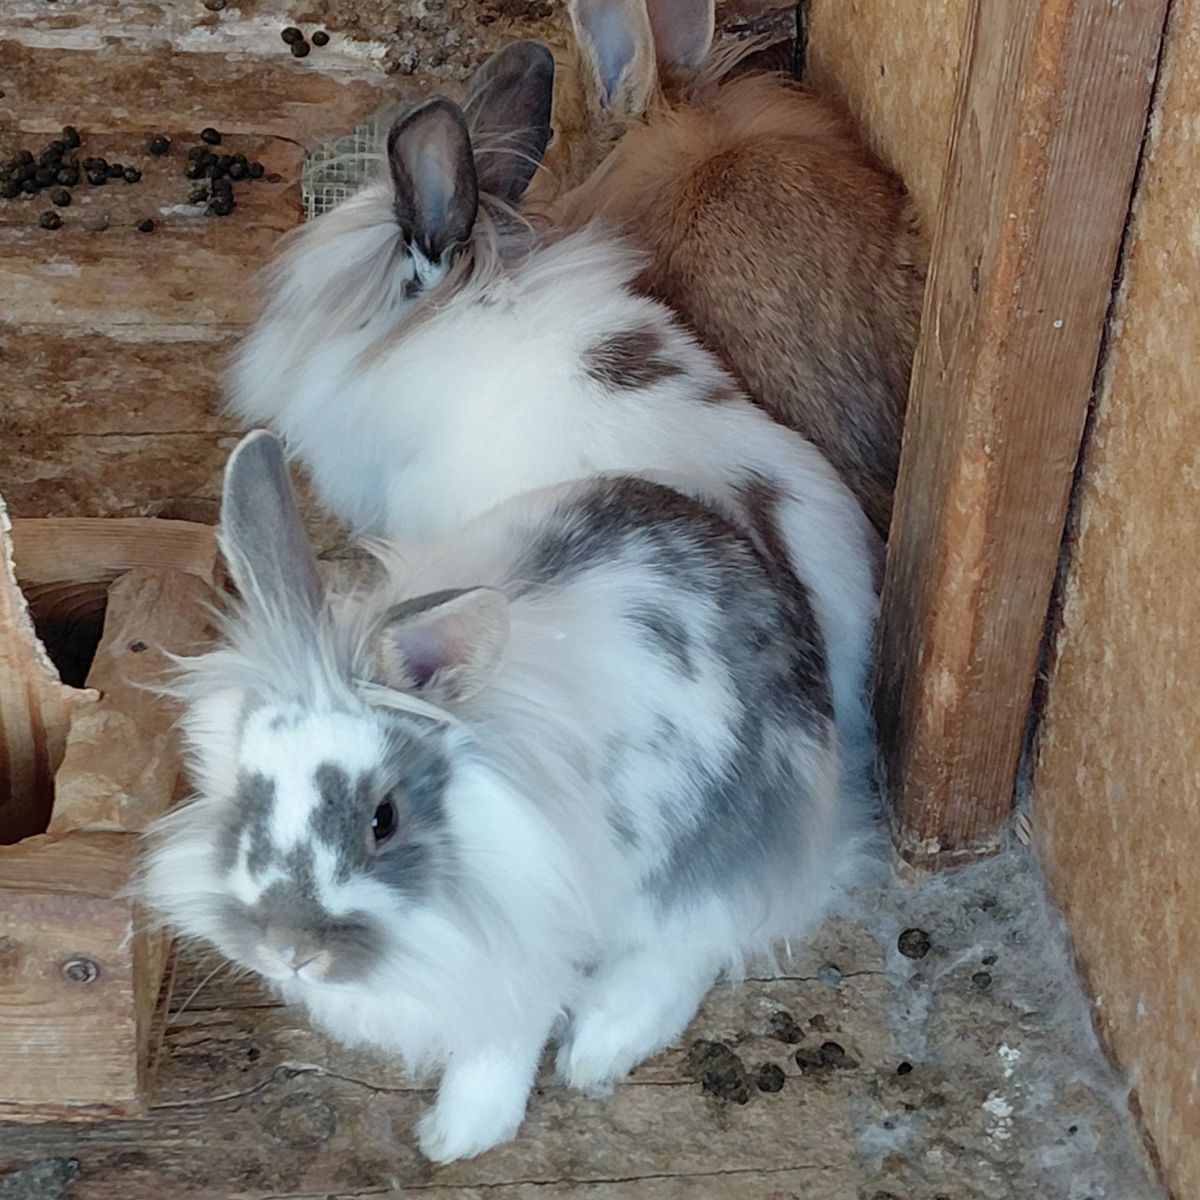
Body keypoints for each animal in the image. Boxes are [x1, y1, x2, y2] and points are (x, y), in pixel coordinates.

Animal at [139, 429, 873, 1162]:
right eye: (246, 794)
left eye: (384, 820)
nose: (290, 952)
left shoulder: (522, 945)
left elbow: (504, 1038)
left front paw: (457, 1135)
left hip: (725, 834)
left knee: (697, 939)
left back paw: (597, 1047)